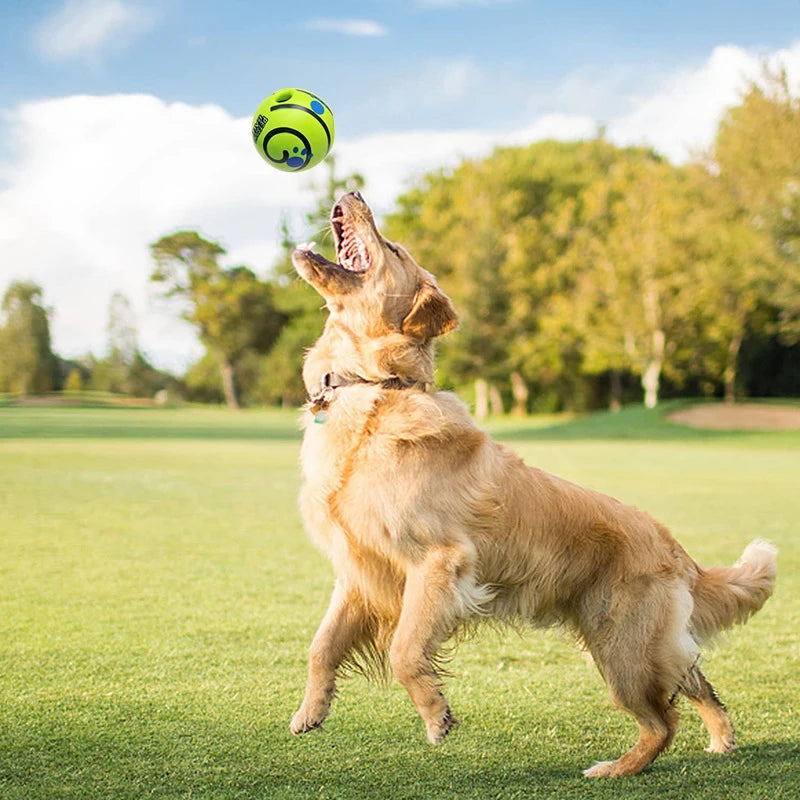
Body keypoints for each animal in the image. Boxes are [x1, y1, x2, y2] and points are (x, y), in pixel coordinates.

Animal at [290, 191, 780, 780]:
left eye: (394, 248)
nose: (355, 194)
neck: (377, 389)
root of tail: (676, 548)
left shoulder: (439, 562)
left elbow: (405, 650)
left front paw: (435, 716)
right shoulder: (359, 570)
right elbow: (321, 646)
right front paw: (310, 710)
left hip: (621, 649)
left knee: (663, 722)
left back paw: (615, 769)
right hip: (637, 644)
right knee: (695, 681)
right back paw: (721, 739)